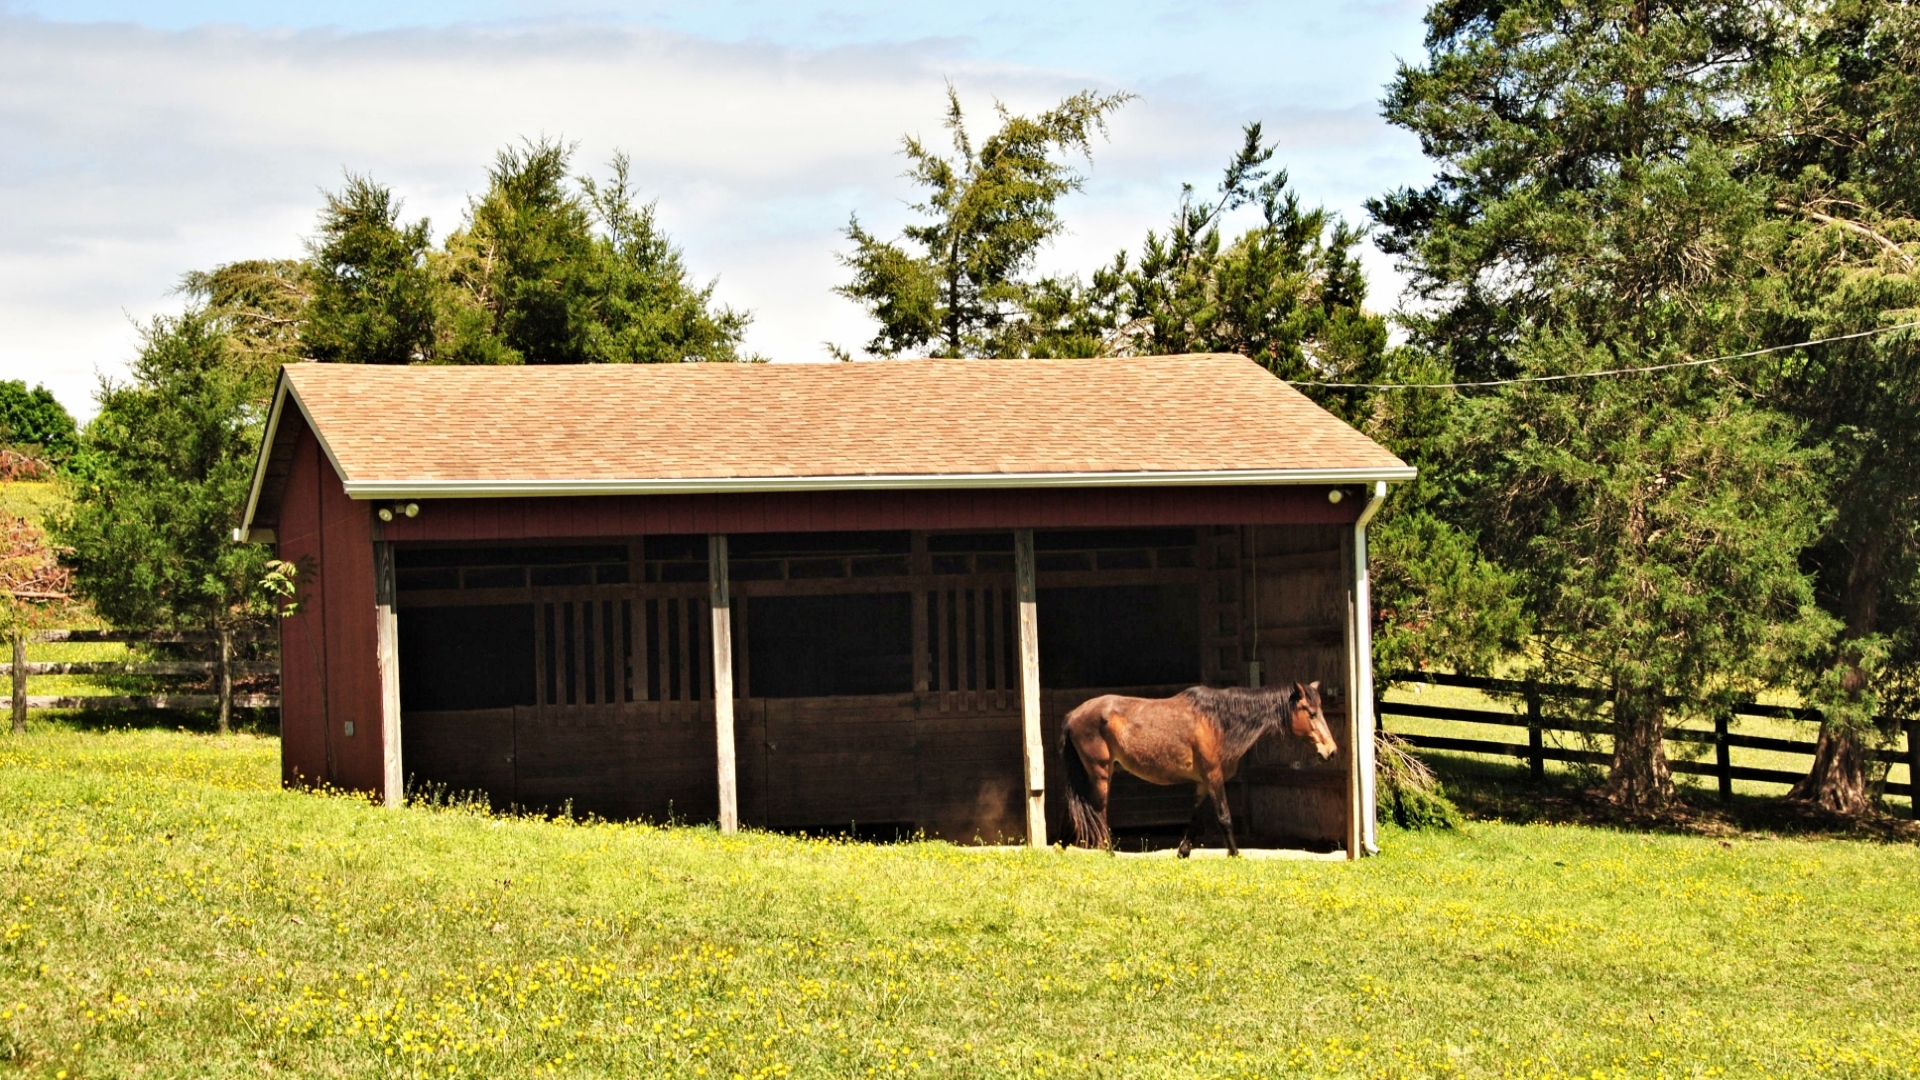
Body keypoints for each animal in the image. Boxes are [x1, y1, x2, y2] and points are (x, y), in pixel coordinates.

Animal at [1059, 680, 1344, 849]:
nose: (1330, 751)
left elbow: (1195, 818)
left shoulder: (1203, 782)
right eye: (1311, 713)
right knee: (1099, 812)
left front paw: (1183, 851)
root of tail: (1073, 715)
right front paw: (1235, 854)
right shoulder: (1214, 776)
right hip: (1100, 772)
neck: (1218, 720)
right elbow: (1224, 817)